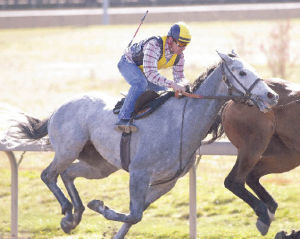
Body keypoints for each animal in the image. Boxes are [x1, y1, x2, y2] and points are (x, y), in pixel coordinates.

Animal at [4, 51, 278, 238]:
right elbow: (134, 214)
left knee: (69, 174)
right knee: (49, 174)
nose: (272, 95)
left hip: (100, 165)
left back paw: (74, 215)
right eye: (242, 72)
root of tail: (59, 108)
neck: (181, 122)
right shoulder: (139, 173)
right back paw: (68, 212)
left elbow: (134, 218)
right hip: (68, 149)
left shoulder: (165, 183)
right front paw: (98, 204)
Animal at [212, 77, 300, 236]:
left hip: (287, 155)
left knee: (251, 176)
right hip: (254, 145)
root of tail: (231, 102)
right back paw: (264, 216)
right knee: (233, 181)